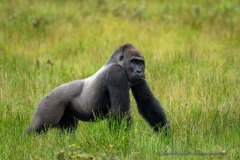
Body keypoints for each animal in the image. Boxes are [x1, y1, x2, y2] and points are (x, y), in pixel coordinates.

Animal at [26, 43, 168, 134]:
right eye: (133, 61)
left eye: (141, 62)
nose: (139, 71)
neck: (118, 62)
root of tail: (45, 96)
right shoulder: (116, 73)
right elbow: (120, 112)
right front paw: (123, 139)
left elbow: (147, 103)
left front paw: (165, 134)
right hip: (50, 103)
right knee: (40, 126)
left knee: (68, 130)